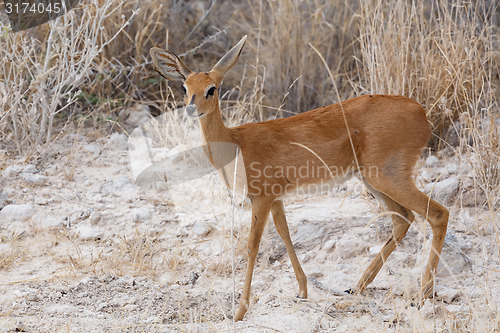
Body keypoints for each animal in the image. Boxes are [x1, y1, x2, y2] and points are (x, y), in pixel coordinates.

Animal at [149, 35, 450, 320]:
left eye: (211, 89)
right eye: (185, 87)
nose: (191, 109)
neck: (236, 143)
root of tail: (421, 113)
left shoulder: (261, 198)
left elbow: (252, 246)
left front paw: (240, 311)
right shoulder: (276, 199)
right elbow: (285, 234)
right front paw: (302, 291)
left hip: (388, 178)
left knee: (438, 213)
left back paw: (421, 296)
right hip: (371, 181)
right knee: (403, 219)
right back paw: (356, 288)